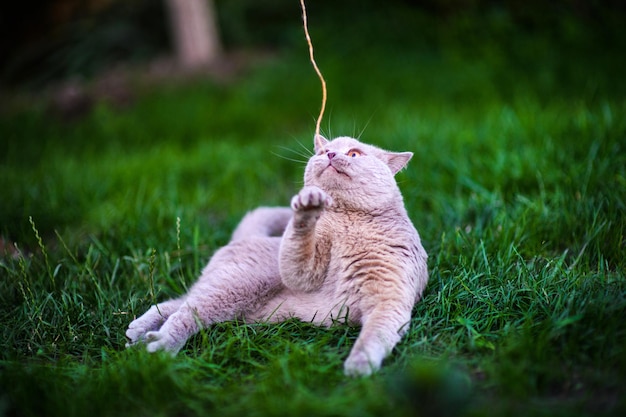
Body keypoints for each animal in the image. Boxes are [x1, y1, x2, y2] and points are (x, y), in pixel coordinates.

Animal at [127, 135, 428, 376]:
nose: (330, 154)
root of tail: (247, 238)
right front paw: (307, 207)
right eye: (324, 150)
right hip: (237, 284)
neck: (348, 221)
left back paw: (140, 335)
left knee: (179, 303)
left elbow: (374, 335)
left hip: (234, 298)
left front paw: (358, 366)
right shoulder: (305, 272)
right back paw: (157, 343)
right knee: (185, 310)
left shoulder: (388, 299)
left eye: (354, 153)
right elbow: (299, 248)